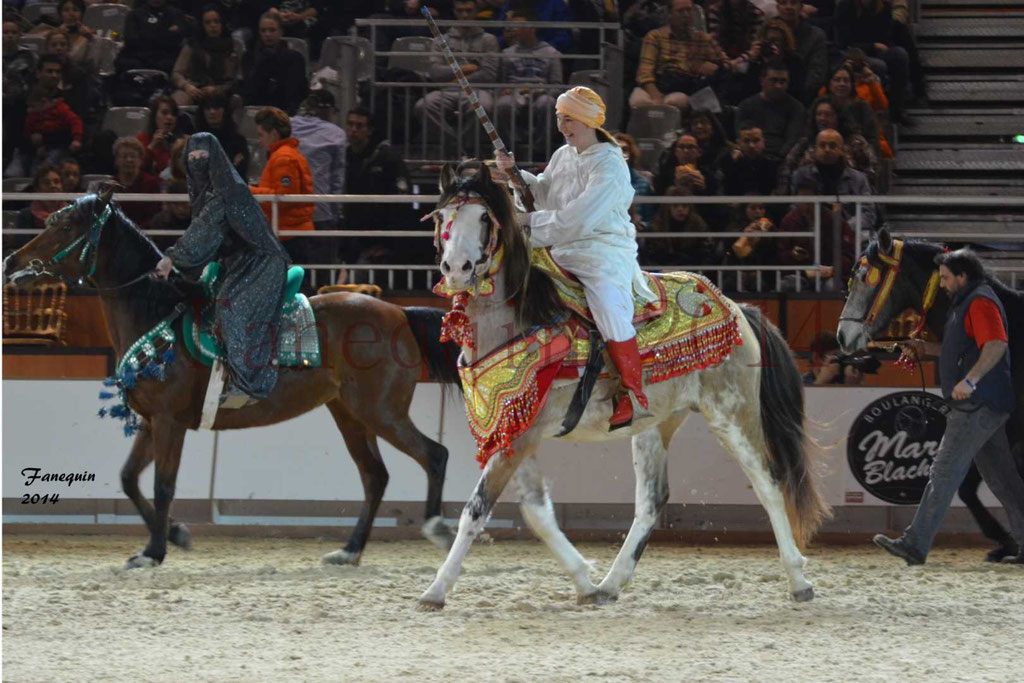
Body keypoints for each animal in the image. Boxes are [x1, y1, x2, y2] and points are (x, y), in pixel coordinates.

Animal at [3, 189, 460, 569]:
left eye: (65, 226)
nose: (12, 262)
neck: (158, 314)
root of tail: (399, 312)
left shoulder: (169, 422)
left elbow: (163, 485)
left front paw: (154, 551)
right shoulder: (152, 422)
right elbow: (129, 479)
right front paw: (175, 534)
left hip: (381, 412)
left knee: (434, 455)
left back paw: (437, 527)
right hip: (349, 414)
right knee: (375, 476)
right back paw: (349, 551)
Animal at [415, 163, 831, 610]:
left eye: (484, 218)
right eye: (443, 217)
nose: (456, 268)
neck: (523, 321)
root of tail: (740, 309)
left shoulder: (520, 438)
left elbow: (475, 511)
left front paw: (436, 590)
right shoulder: (515, 432)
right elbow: (537, 511)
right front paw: (583, 580)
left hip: (732, 415)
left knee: (768, 483)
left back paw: (798, 579)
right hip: (655, 425)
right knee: (651, 501)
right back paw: (611, 583)